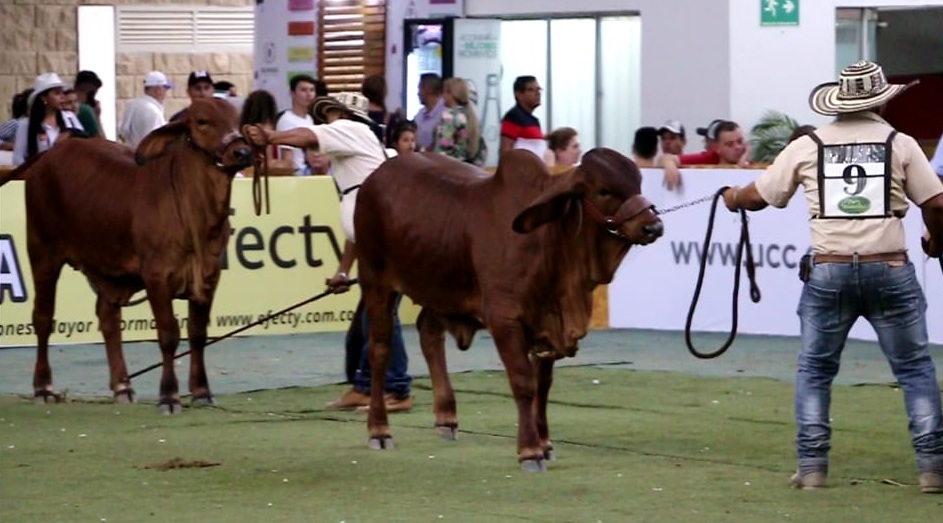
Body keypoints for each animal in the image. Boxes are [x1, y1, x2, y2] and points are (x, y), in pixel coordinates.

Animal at [0, 98, 254, 414]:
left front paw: (202, 392)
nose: (242, 152)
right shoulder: (157, 277)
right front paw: (168, 396)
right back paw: (44, 387)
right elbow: (168, 334)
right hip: (42, 252)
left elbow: (197, 334)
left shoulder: (208, 276)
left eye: (237, 119)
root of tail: (51, 153)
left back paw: (122, 386)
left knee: (107, 317)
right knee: (43, 317)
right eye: (202, 121)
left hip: (109, 271)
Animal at [354, 146, 664, 470]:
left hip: (439, 289)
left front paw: (545, 443)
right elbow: (524, 382)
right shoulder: (505, 320)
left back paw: (446, 418)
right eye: (604, 190)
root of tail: (377, 175)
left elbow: (543, 384)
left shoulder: (547, 327)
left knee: (429, 335)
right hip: (376, 282)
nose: (653, 226)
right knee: (379, 350)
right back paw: (379, 429)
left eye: (638, 182)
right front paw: (530, 450)